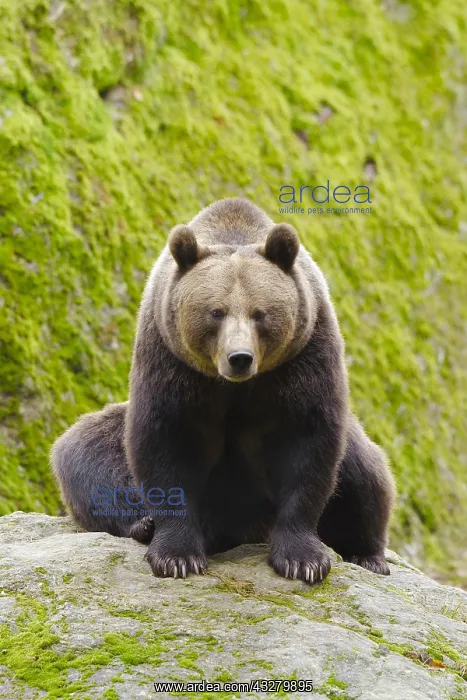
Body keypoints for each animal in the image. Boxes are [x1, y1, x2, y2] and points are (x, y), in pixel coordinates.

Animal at [51, 197, 396, 584]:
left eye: (260, 313)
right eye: (215, 312)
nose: (239, 358)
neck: (235, 387)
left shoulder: (305, 359)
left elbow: (308, 448)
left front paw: (302, 560)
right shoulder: (170, 363)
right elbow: (165, 445)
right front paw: (177, 556)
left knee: (364, 476)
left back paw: (368, 556)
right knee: (86, 454)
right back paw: (142, 524)